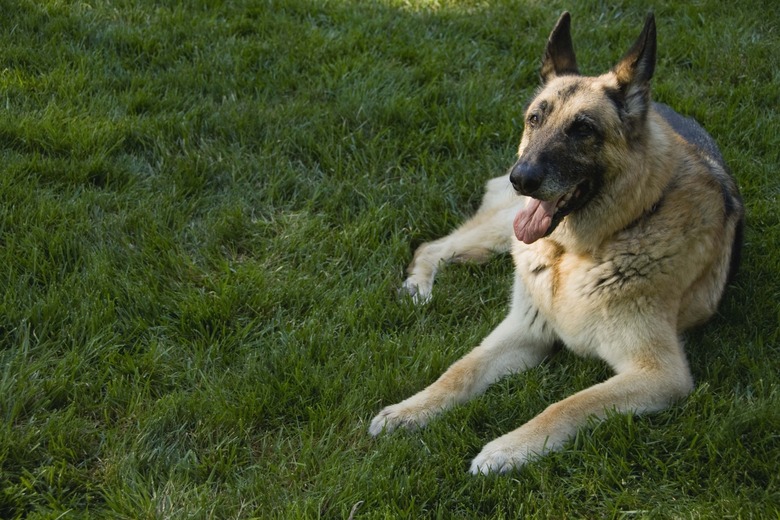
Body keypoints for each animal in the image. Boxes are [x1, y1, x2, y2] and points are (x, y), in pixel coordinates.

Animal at [368, 12, 748, 476]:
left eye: (583, 129)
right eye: (535, 119)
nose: (522, 178)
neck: (580, 252)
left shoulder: (659, 373)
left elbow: (568, 404)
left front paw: (507, 448)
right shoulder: (521, 330)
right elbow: (460, 371)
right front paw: (411, 410)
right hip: (506, 227)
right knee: (430, 247)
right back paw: (419, 287)